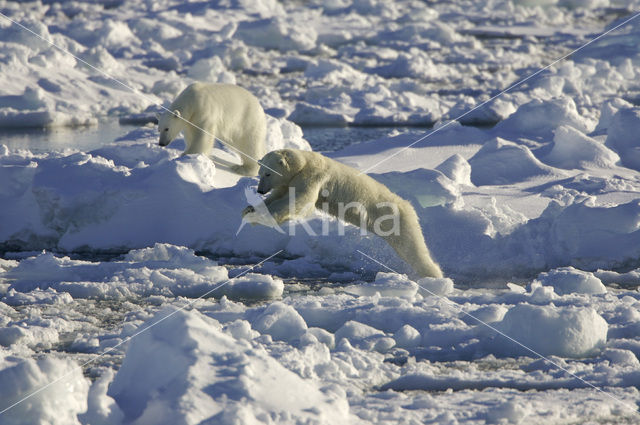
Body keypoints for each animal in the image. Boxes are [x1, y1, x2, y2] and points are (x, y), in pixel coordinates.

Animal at [242, 149, 442, 278]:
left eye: (267, 174)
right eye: (260, 172)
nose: (260, 190)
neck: (303, 162)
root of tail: (408, 206)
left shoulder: (313, 176)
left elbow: (299, 201)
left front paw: (259, 218)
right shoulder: (288, 182)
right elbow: (278, 197)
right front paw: (249, 209)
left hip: (395, 219)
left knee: (413, 248)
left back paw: (434, 276)